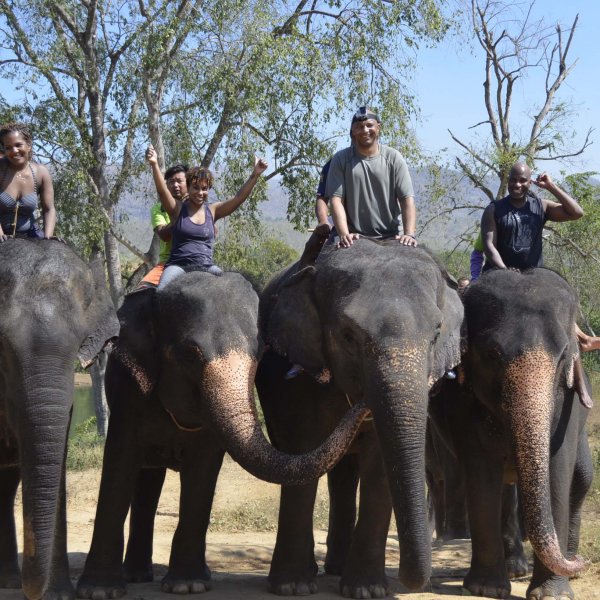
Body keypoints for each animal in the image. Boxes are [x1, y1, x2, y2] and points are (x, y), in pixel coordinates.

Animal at [75, 274, 366, 600]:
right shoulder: (128, 389)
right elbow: (119, 462)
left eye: (260, 352)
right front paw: (99, 591)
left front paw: (187, 585)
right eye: (190, 354)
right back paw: (136, 577)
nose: (364, 403)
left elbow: (203, 471)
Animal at [255, 239, 462, 596]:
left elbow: (379, 467)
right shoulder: (296, 377)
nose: (416, 582)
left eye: (436, 335)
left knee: (344, 474)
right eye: (348, 336)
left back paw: (337, 568)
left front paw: (366, 590)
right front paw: (292, 586)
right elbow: (301, 453)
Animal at [454, 270, 596, 596]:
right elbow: (481, 471)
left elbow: (558, 470)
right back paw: (518, 569)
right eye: (492, 354)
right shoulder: (463, 401)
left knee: (582, 478)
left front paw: (553, 596)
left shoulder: (567, 403)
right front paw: (486, 590)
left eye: (564, 356)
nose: (584, 560)